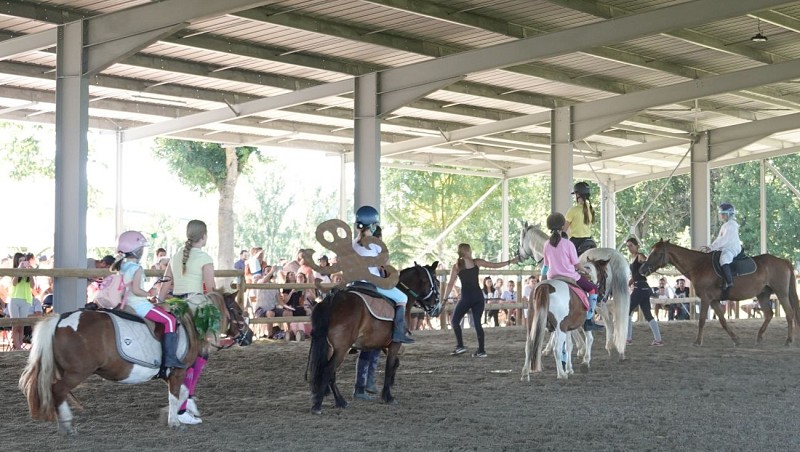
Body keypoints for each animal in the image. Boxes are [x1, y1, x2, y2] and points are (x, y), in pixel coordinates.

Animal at [18, 290, 252, 434]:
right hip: (77, 373)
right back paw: (67, 425)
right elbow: (177, 394)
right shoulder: (177, 371)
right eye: (239, 311)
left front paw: (180, 413)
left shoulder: (171, 373)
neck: (190, 322)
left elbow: (184, 392)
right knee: (57, 391)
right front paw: (174, 420)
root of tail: (61, 319)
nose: (249, 336)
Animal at [308, 262, 444, 414]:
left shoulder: (381, 344)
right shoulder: (395, 343)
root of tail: (332, 299)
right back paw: (318, 405)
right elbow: (389, 367)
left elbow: (392, 363)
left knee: (329, 372)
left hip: (330, 347)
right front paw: (388, 396)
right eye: (436, 282)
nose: (438, 308)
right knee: (328, 370)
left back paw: (340, 401)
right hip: (341, 348)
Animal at [636, 240, 800, 346]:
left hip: (781, 293)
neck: (699, 266)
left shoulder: (706, 299)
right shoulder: (714, 300)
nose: (642, 269)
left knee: (789, 313)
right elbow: (722, 320)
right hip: (763, 294)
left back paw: (789, 340)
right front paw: (735, 339)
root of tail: (783, 261)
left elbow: (702, 320)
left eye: (657, 253)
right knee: (769, 314)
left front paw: (698, 341)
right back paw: (759, 337)